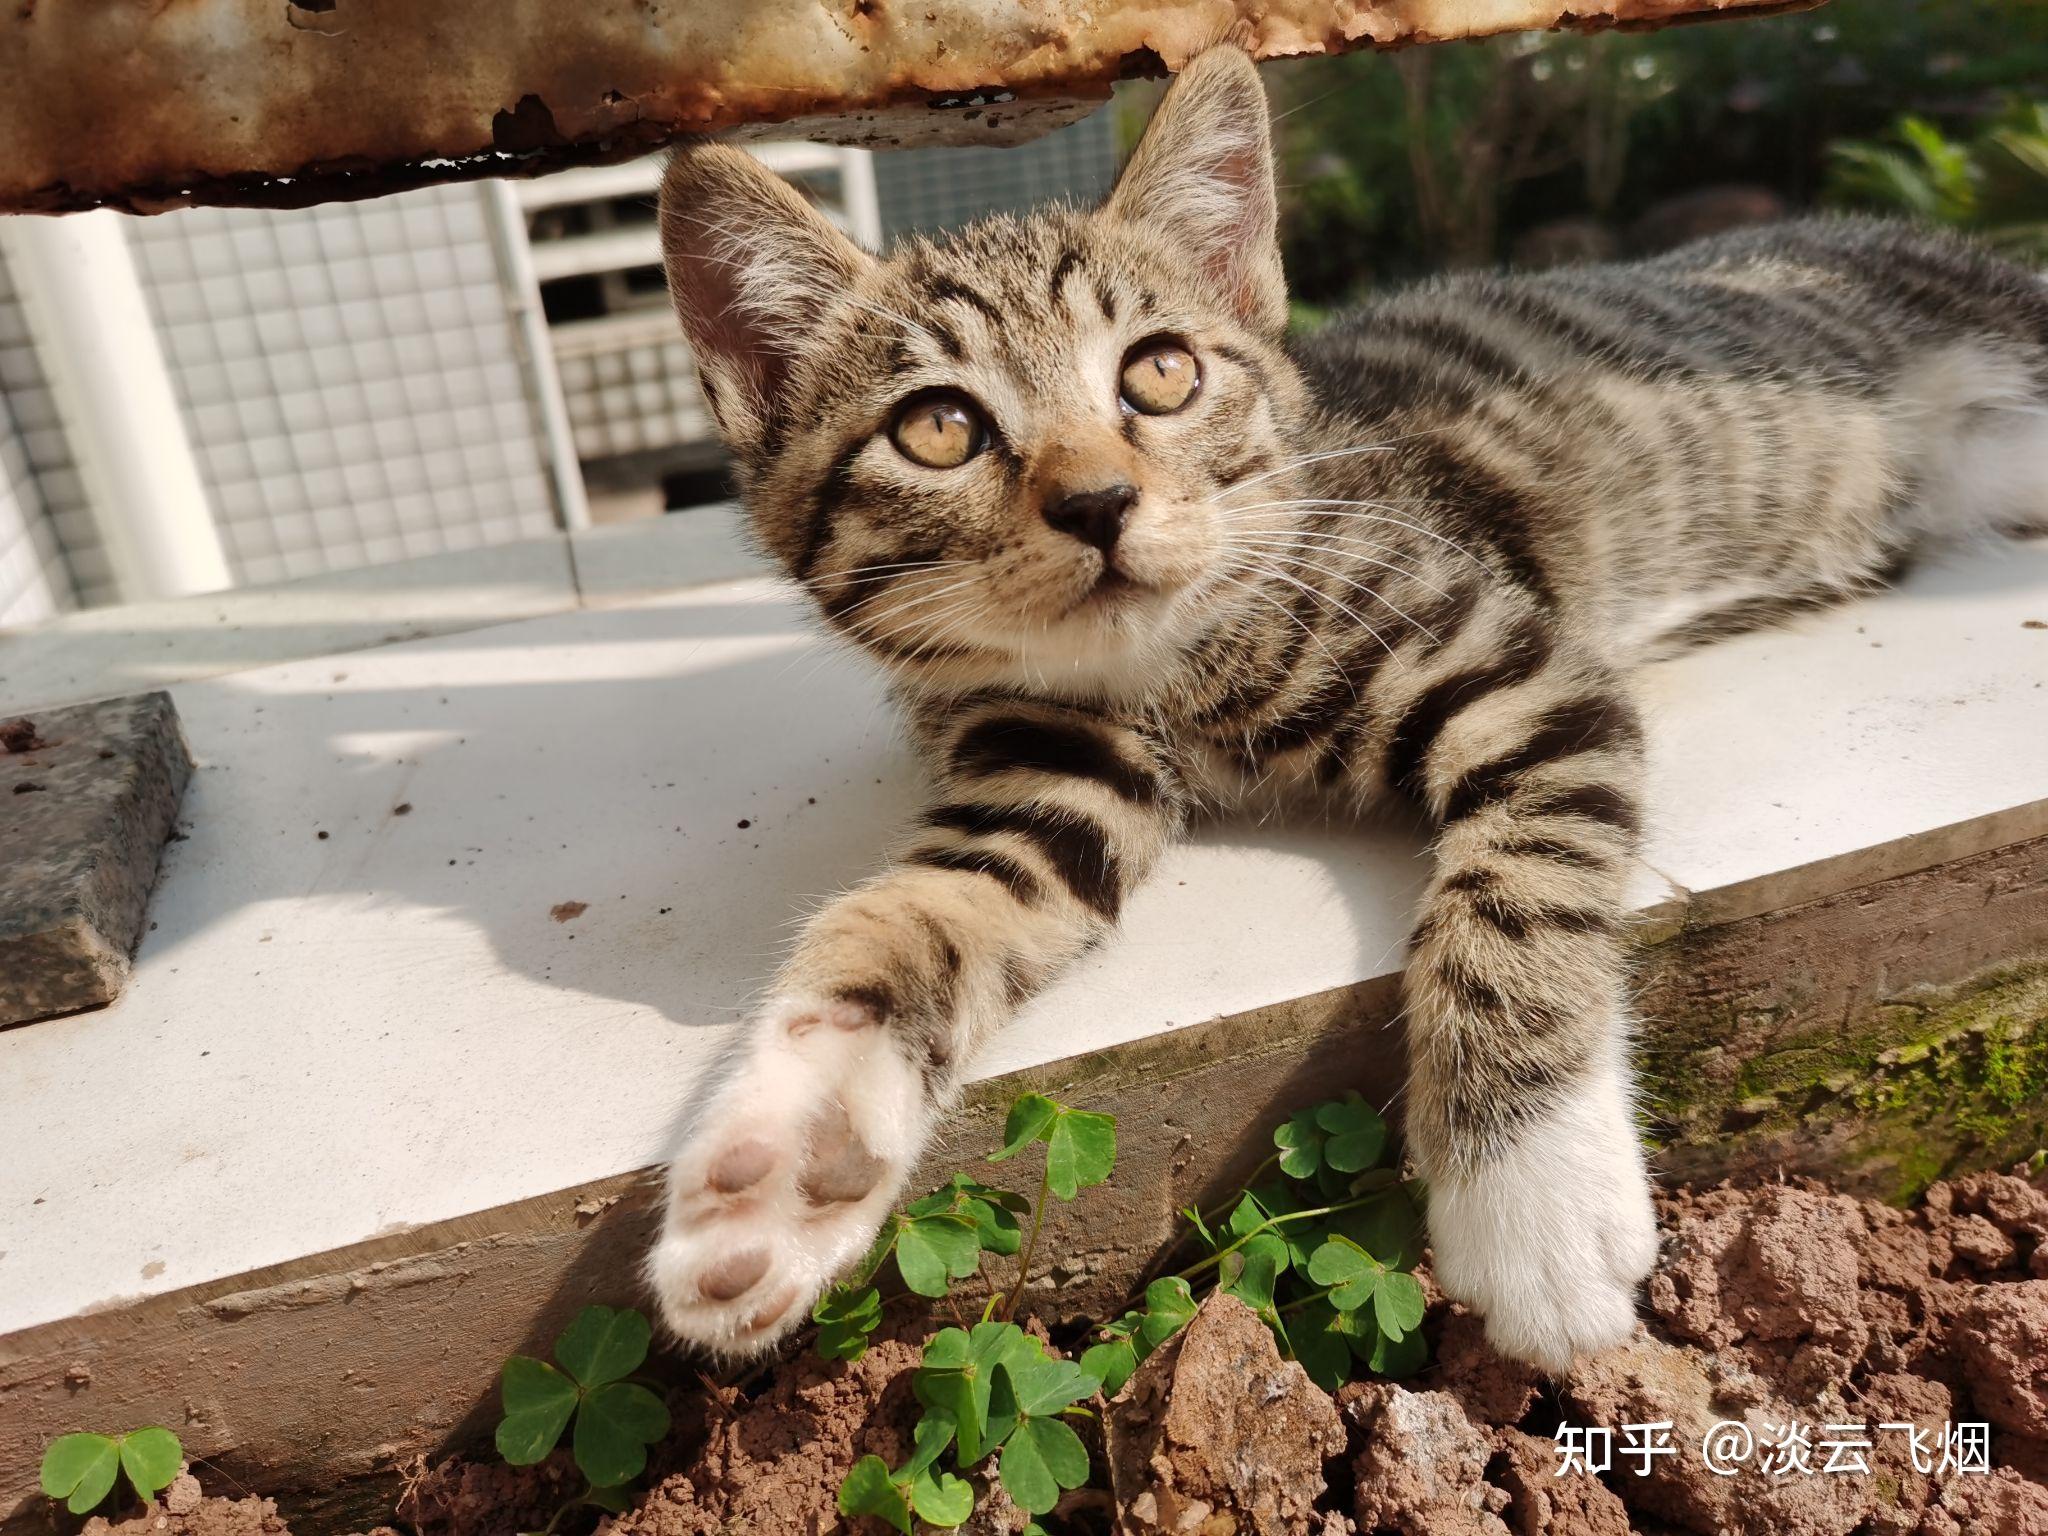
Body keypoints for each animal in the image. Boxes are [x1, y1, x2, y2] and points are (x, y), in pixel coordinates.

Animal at [643, 45, 2048, 1368]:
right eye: (937, 428)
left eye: (1159, 374)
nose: (1098, 503)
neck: (1170, 672)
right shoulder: (1047, 776)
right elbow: (910, 916)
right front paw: (784, 1160)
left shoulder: (1520, 669)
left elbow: (1514, 894)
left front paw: (1533, 1202)